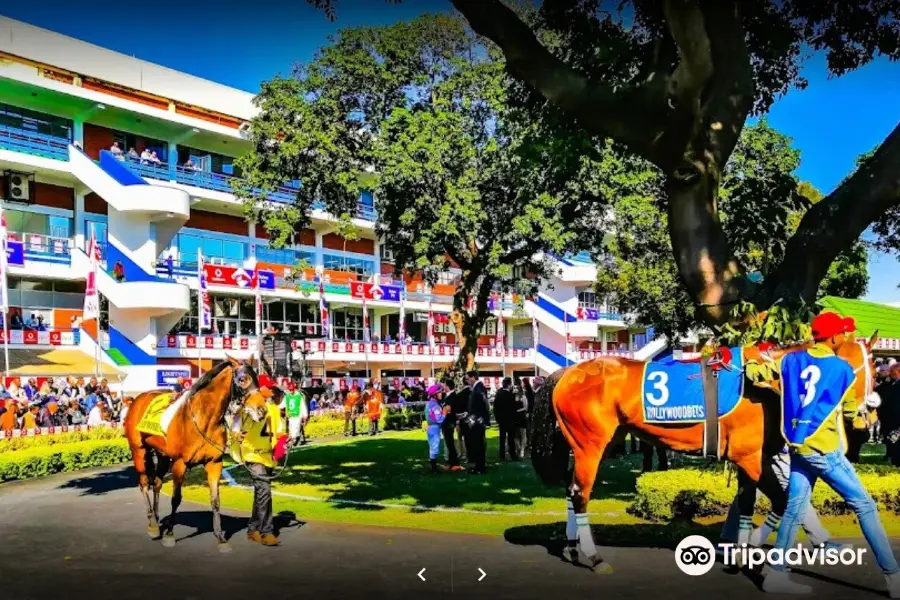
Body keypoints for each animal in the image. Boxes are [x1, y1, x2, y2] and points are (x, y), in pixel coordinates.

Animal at [125, 356, 268, 552]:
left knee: (157, 483)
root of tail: (137, 399)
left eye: (257, 378)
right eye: (243, 379)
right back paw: (153, 525)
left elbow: (215, 500)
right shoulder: (180, 463)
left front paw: (221, 538)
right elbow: (176, 498)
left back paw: (156, 518)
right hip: (139, 450)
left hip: (163, 455)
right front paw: (170, 535)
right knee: (144, 483)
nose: (261, 410)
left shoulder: (214, 463)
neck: (203, 419)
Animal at [532, 336, 876, 576]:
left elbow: (767, 501)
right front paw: (746, 550)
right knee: (580, 492)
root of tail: (567, 371)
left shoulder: (753, 458)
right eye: (858, 370)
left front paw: (746, 548)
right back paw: (594, 556)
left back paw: (572, 548)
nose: (868, 416)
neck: (766, 384)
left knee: (571, 489)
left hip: (596, 442)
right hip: (590, 444)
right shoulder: (750, 458)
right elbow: (765, 501)